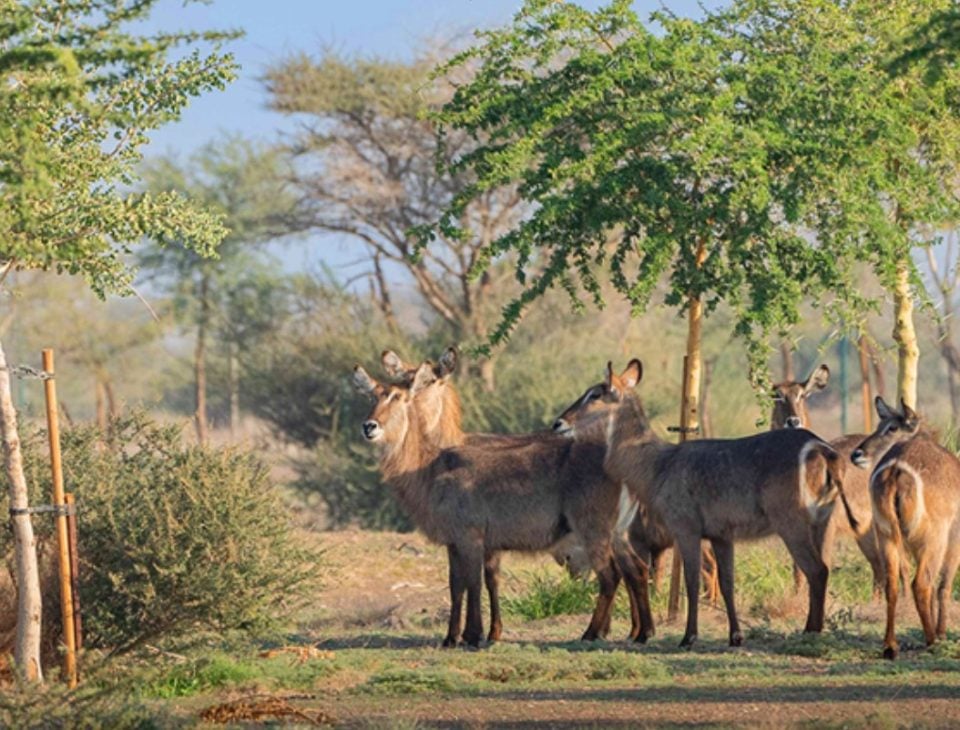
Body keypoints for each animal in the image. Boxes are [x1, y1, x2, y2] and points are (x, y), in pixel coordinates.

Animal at [352, 362, 652, 644]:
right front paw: (451, 638)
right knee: (636, 570)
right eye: (372, 397)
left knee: (611, 575)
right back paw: (641, 632)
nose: (369, 426)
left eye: (399, 398)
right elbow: (456, 585)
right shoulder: (454, 542)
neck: (430, 466)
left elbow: (473, 583)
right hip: (617, 533)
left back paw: (592, 633)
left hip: (594, 530)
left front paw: (472, 635)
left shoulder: (471, 537)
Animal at [556, 358, 856, 648]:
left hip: (792, 523)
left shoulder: (685, 529)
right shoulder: (721, 535)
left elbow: (690, 581)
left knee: (815, 570)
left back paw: (810, 631)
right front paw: (735, 637)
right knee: (823, 569)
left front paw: (688, 637)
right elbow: (727, 582)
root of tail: (820, 447)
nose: (559, 422)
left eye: (595, 393)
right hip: (823, 522)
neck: (659, 464)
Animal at [772, 364, 884, 592]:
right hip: (864, 530)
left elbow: (820, 565)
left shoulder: (827, 526)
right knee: (879, 567)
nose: (793, 421)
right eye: (776, 396)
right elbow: (798, 569)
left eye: (802, 395)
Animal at [852, 396, 956, 656]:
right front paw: (942, 633)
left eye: (891, 427)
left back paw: (890, 645)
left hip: (886, 534)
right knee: (922, 583)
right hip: (933, 538)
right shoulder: (954, 538)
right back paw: (931, 640)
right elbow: (944, 585)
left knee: (891, 582)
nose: (856, 454)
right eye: (881, 425)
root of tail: (895, 469)